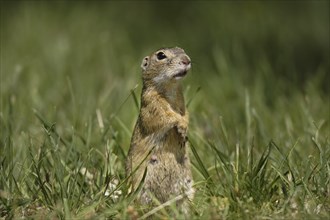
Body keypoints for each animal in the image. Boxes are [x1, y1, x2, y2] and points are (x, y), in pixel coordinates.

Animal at [125, 46, 193, 215]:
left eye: (181, 49)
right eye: (161, 55)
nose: (187, 60)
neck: (171, 89)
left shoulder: (182, 104)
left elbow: (186, 115)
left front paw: (184, 130)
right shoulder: (152, 104)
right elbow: (167, 116)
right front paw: (180, 126)